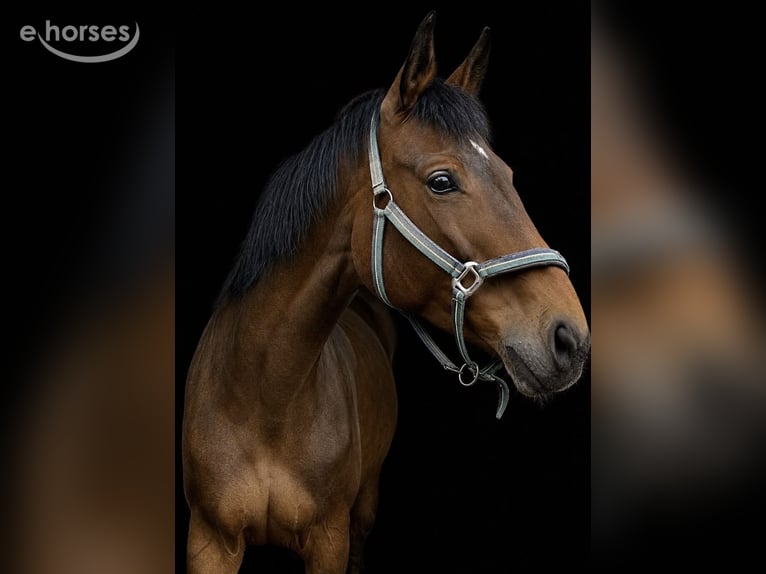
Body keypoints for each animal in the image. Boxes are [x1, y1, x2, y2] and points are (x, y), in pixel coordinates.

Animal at [182, 11, 590, 573]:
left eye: (507, 174)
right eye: (442, 181)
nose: (570, 338)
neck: (263, 398)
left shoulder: (330, 538)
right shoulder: (209, 539)